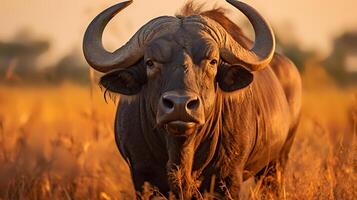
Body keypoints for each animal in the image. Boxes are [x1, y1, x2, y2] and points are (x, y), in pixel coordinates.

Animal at [82, 0, 300, 198]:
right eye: (150, 62)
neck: (181, 154)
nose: (180, 105)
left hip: (276, 164)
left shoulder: (229, 178)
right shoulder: (142, 177)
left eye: (213, 61)